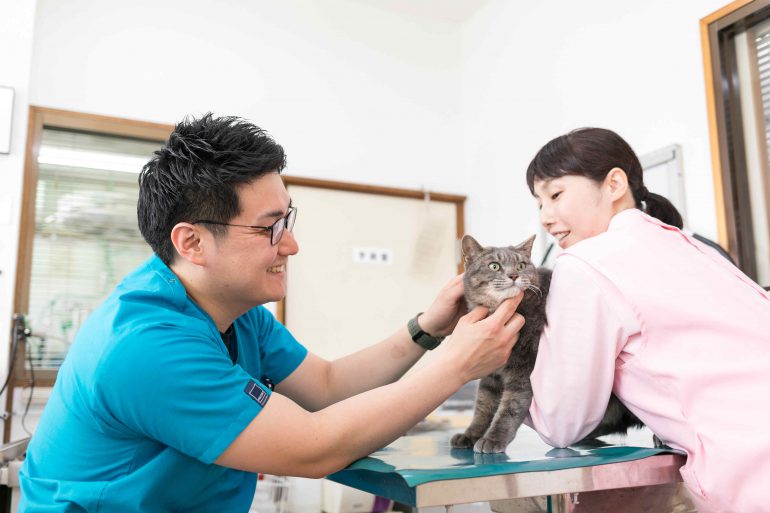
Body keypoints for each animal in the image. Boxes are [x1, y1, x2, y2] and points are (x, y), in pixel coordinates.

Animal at [450, 235, 640, 452]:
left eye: (521, 265)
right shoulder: (491, 372)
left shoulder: (523, 368)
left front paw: (493, 439)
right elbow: (483, 405)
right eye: (494, 266)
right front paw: (470, 435)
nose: (514, 275)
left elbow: (510, 406)